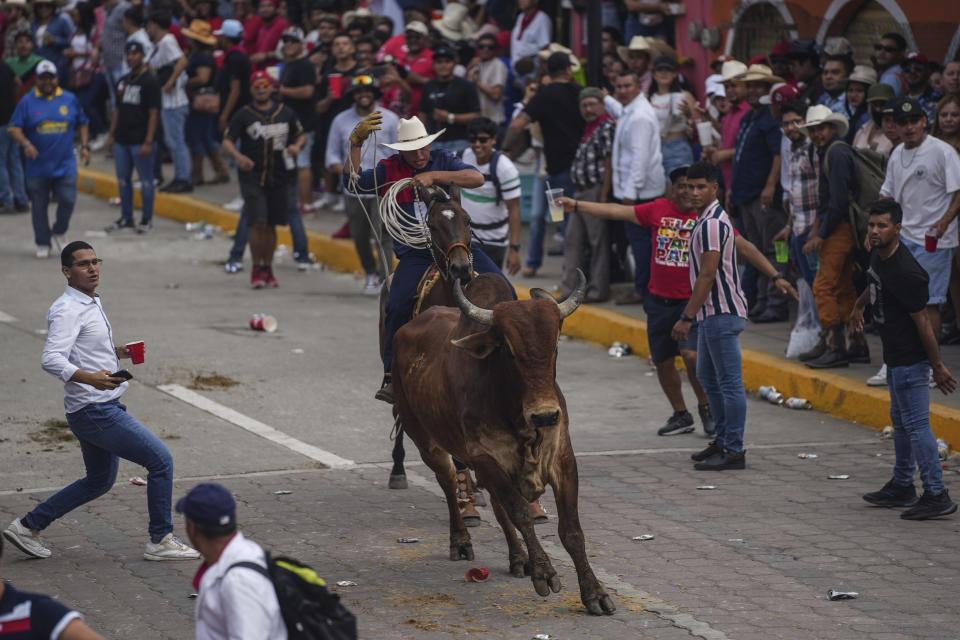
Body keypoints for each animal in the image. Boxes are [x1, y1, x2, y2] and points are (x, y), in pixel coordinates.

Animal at [394, 268, 620, 616]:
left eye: (555, 346)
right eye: (510, 350)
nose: (545, 415)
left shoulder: (562, 458)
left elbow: (570, 530)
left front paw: (594, 592)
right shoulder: (484, 457)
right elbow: (521, 513)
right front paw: (544, 572)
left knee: (498, 508)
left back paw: (518, 557)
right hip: (424, 438)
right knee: (449, 482)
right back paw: (461, 541)